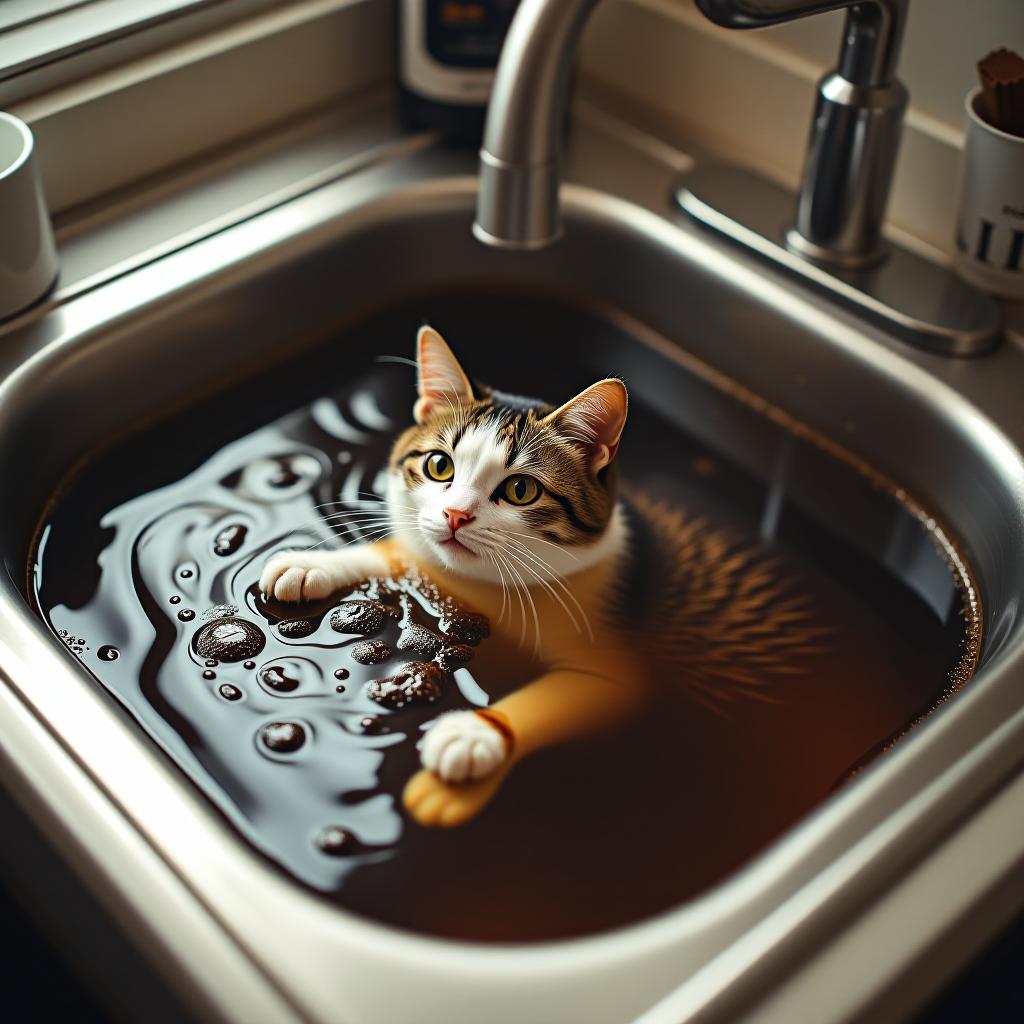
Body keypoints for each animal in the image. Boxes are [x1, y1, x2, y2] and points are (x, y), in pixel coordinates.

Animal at [260, 325, 819, 823]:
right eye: (440, 466)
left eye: (521, 491)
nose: (455, 515)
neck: (489, 585)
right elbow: (402, 553)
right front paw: (314, 562)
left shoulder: (613, 671)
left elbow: (573, 693)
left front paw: (474, 736)